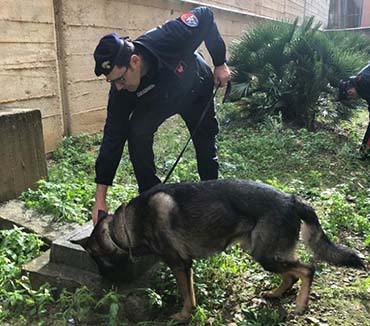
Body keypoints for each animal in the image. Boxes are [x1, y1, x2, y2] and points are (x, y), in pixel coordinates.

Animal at [73, 180, 366, 320]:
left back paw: (300, 305)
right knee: (291, 274)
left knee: (307, 269)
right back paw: (275, 293)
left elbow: (187, 296)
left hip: (265, 255)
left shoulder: (180, 264)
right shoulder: (186, 265)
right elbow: (190, 293)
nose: (103, 282)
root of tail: (292, 199)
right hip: (263, 253)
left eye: (96, 259)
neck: (123, 225)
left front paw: (183, 316)